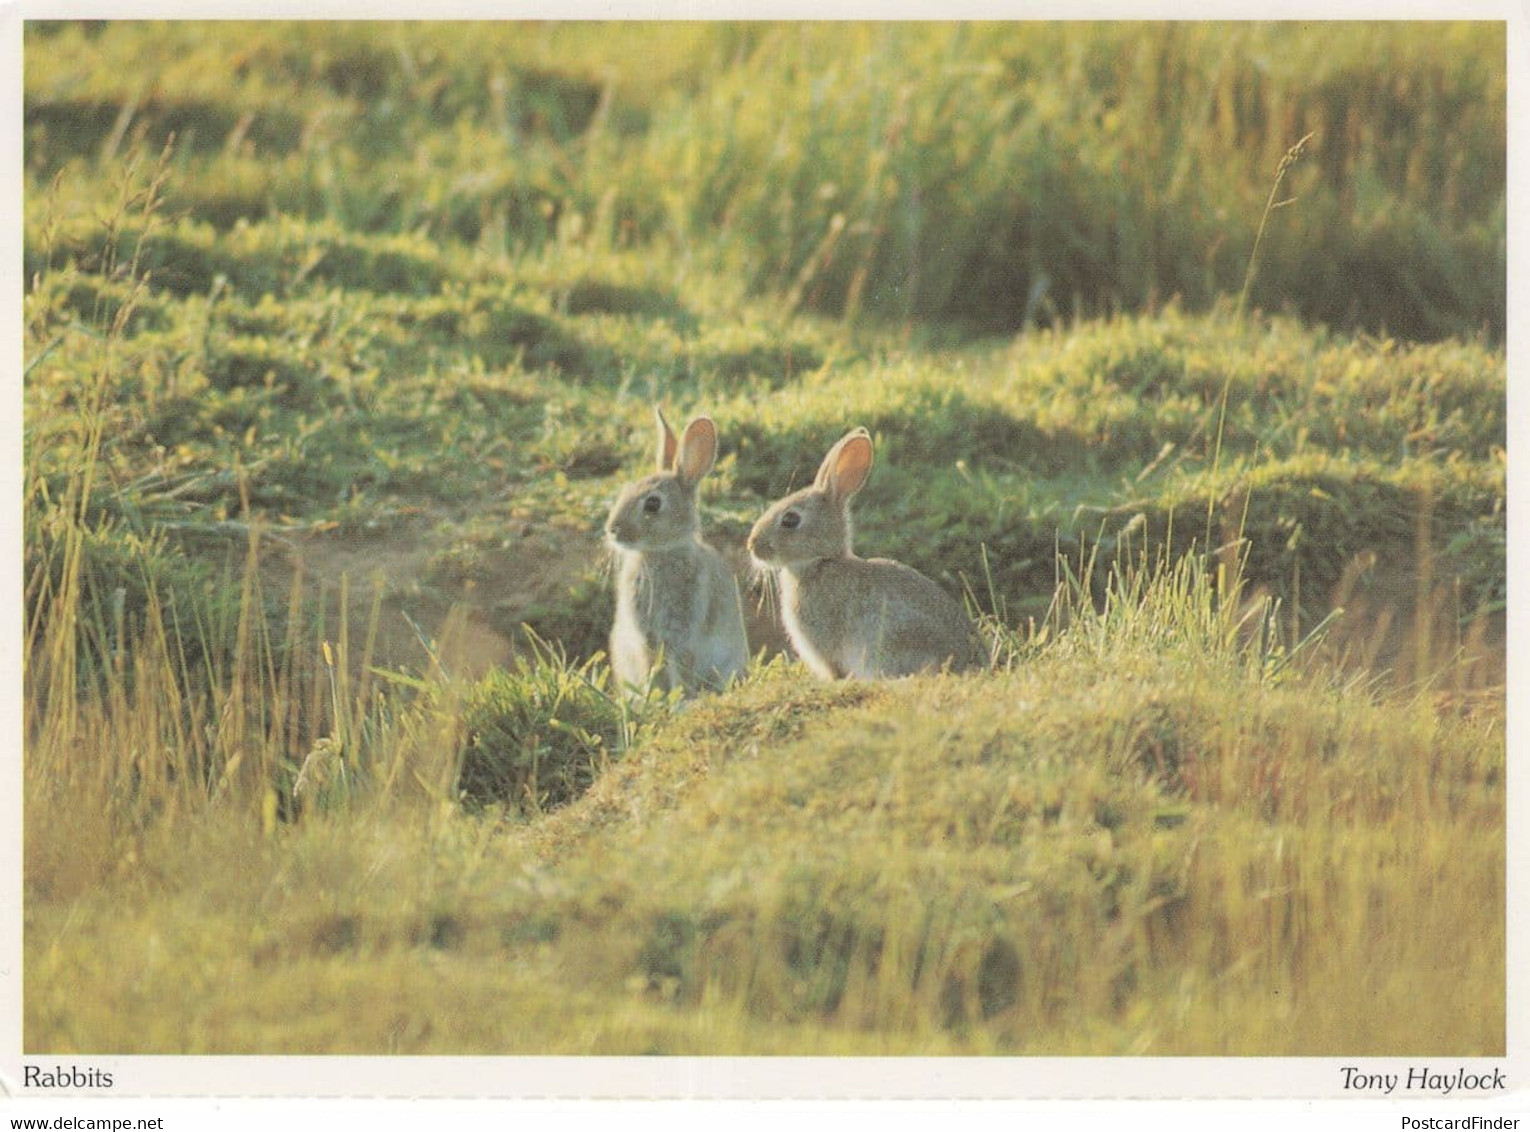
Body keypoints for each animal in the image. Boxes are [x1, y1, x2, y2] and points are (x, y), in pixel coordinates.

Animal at [608, 406, 752, 697]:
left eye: (653, 504)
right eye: (627, 490)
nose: (612, 530)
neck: (659, 553)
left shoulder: (684, 630)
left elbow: (681, 665)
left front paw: (679, 699)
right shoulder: (646, 635)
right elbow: (652, 665)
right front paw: (654, 697)